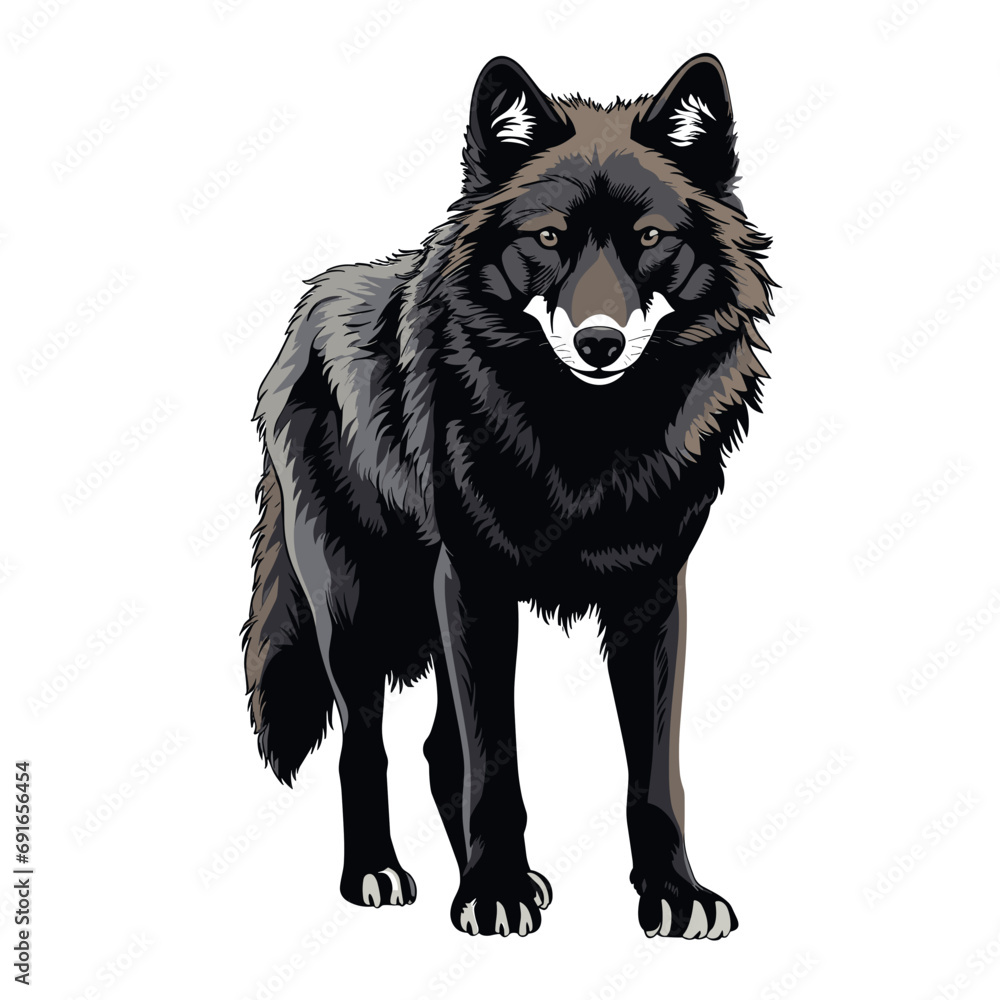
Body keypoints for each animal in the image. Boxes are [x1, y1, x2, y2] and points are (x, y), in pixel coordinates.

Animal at [242, 52, 774, 939]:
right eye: (549, 238)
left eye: (650, 239)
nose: (600, 342)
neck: (589, 442)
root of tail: (304, 312)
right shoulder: (477, 585)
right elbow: (495, 761)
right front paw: (492, 892)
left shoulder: (652, 596)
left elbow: (652, 774)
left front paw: (672, 894)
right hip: (353, 609)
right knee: (368, 746)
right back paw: (381, 874)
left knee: (436, 752)